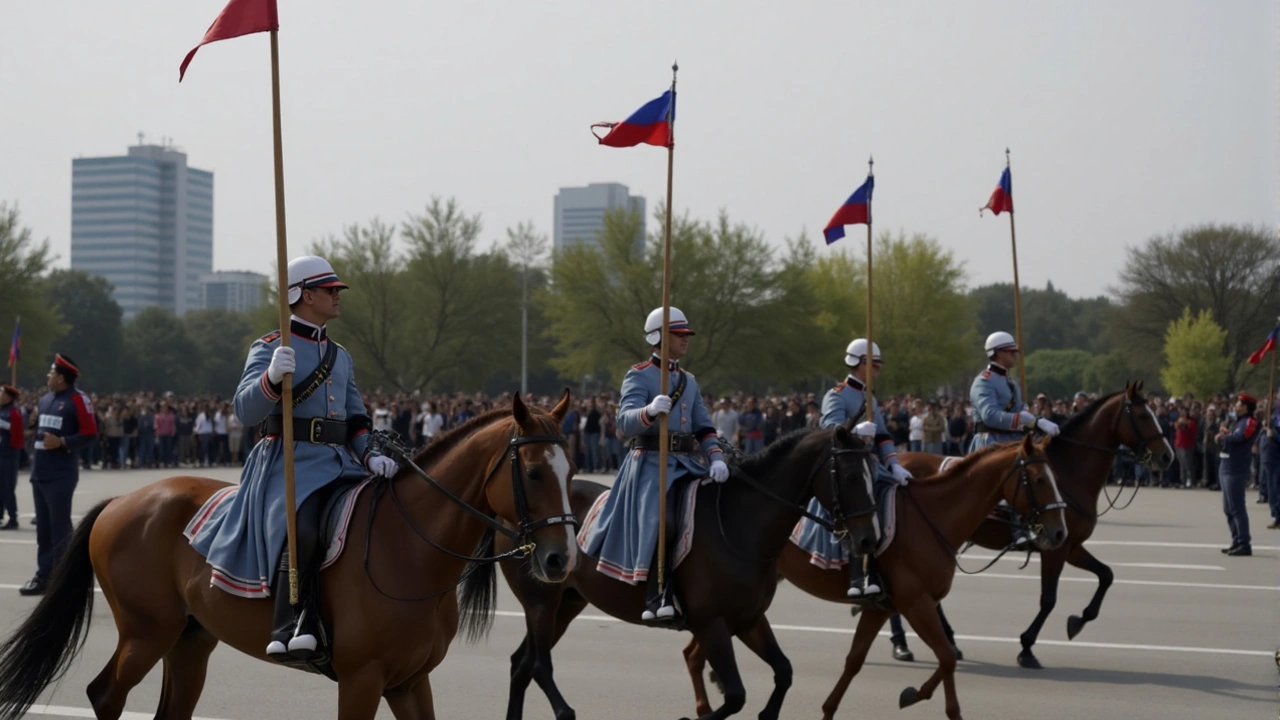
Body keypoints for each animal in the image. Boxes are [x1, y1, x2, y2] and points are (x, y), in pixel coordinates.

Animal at [0, 389, 581, 717]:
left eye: (571, 471)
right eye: (533, 472)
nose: (562, 560)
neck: (412, 550)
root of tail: (123, 500)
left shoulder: (410, 683)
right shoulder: (362, 680)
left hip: (190, 641)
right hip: (147, 633)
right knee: (105, 695)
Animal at [478, 425, 880, 717]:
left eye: (874, 474)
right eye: (850, 477)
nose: (868, 539)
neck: (740, 524)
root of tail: (510, 511)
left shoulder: (749, 620)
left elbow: (783, 673)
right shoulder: (711, 623)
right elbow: (735, 695)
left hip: (567, 604)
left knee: (521, 665)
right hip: (541, 604)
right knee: (537, 666)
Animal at [691, 430, 1070, 717]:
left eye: (1055, 477)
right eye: (1039, 479)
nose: (1060, 533)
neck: (933, 516)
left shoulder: (886, 607)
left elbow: (857, 661)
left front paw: (897, 696)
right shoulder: (916, 603)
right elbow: (946, 657)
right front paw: (936, 703)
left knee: (694, 653)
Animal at [896, 381, 1172, 666]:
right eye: (1142, 415)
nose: (1167, 456)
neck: (1067, 475)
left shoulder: (1070, 546)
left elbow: (1106, 575)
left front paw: (1079, 620)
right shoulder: (1056, 550)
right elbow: (1049, 599)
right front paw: (1027, 646)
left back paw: (943, 640)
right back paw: (904, 644)